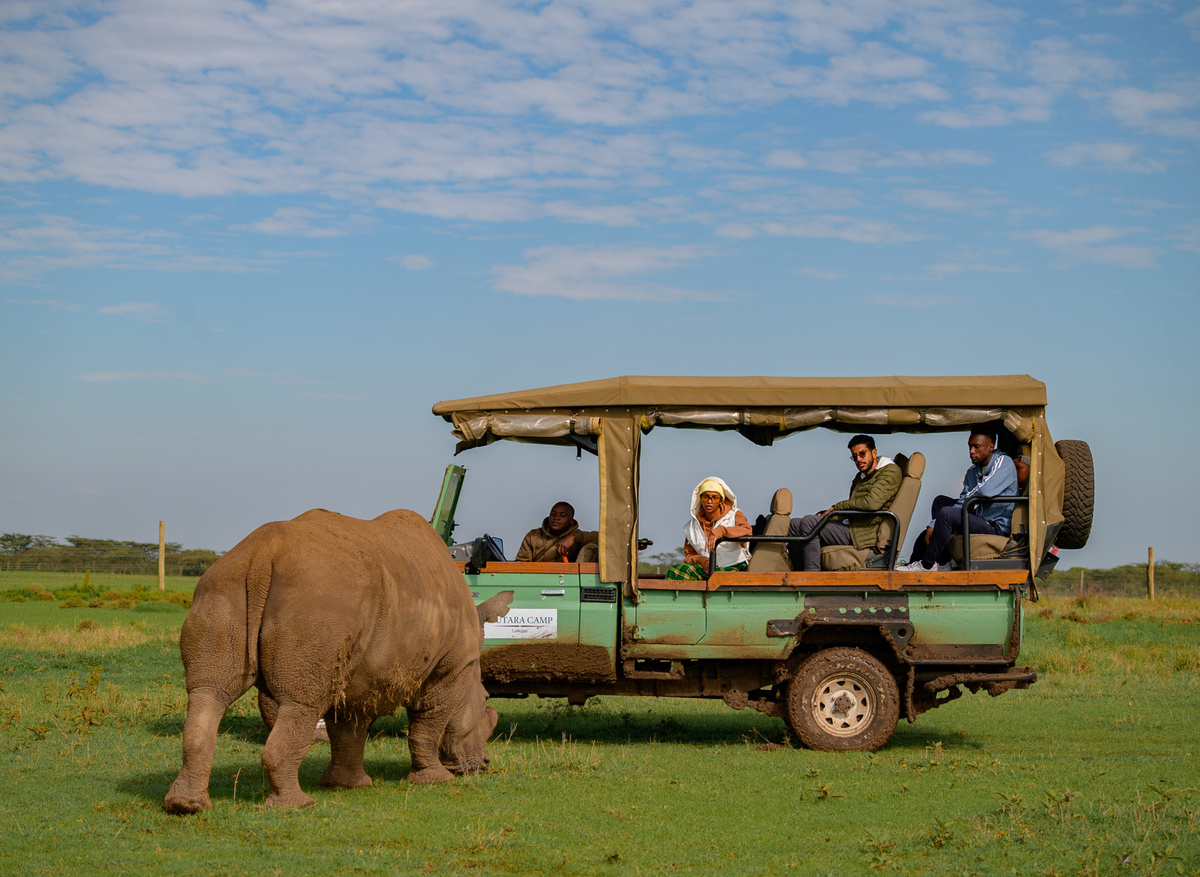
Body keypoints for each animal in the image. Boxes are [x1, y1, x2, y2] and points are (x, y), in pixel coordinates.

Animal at [163, 508, 512, 813]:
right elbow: (428, 721)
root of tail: (262, 554)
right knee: (301, 703)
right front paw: (435, 780)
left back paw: (185, 806)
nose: (483, 764)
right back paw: (297, 806)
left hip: (224, 585)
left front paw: (347, 785)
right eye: (485, 700)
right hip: (317, 600)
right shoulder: (450, 666)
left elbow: (348, 727)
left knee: (209, 692)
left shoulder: (359, 670)